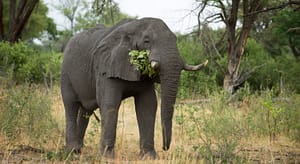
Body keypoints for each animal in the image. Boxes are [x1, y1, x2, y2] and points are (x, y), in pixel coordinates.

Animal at [60, 17, 206, 159]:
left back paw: (79, 150)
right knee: (71, 105)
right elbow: (110, 104)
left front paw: (149, 157)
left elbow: (148, 105)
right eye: (147, 41)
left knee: (85, 111)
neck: (133, 28)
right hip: (66, 72)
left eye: (175, 39)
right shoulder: (106, 66)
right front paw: (106, 158)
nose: (165, 147)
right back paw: (72, 152)